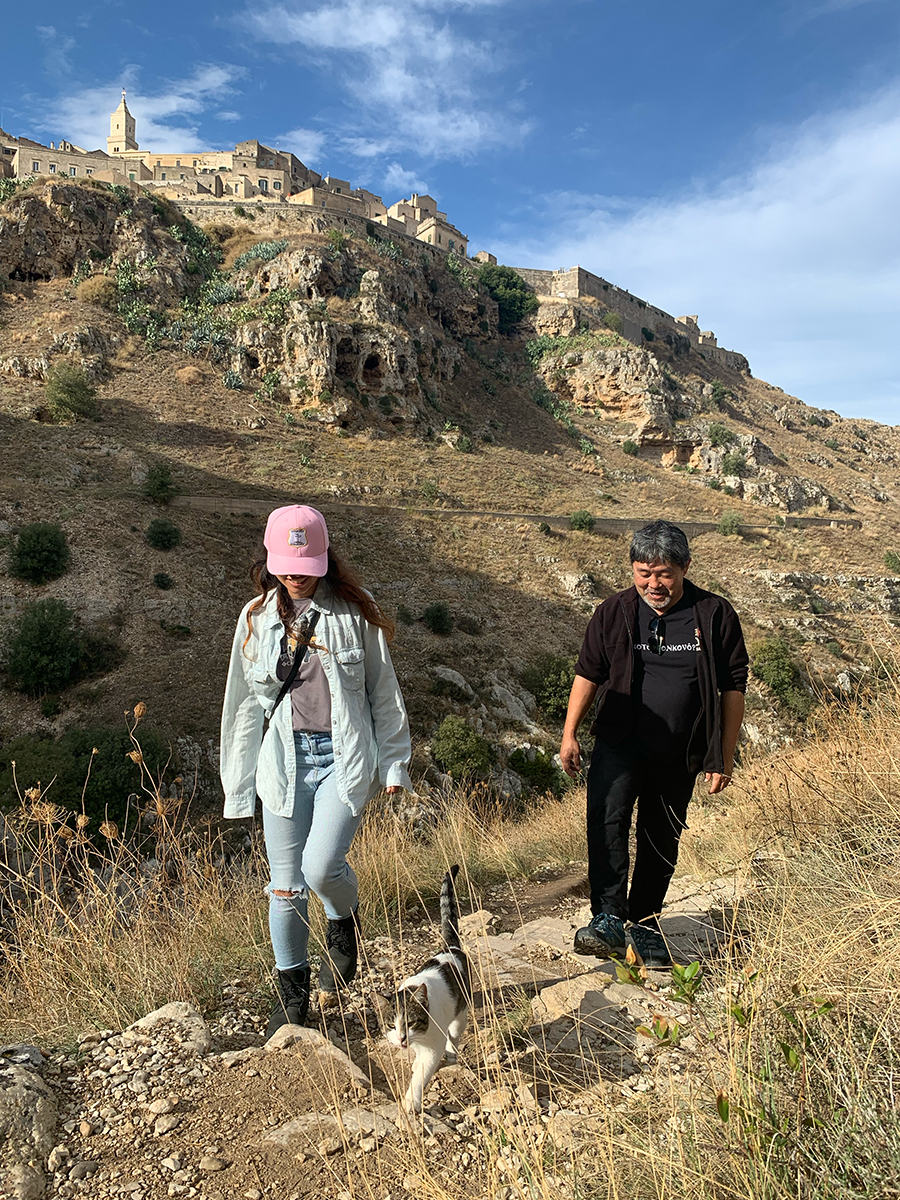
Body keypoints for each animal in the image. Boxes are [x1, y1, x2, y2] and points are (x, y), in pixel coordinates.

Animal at [384, 864, 475, 1113]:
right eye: (391, 1025)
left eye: (411, 1022)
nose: (402, 1039)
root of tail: (450, 947)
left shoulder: (433, 1045)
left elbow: (420, 1077)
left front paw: (410, 1103)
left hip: (459, 1015)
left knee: (454, 1036)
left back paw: (452, 1054)